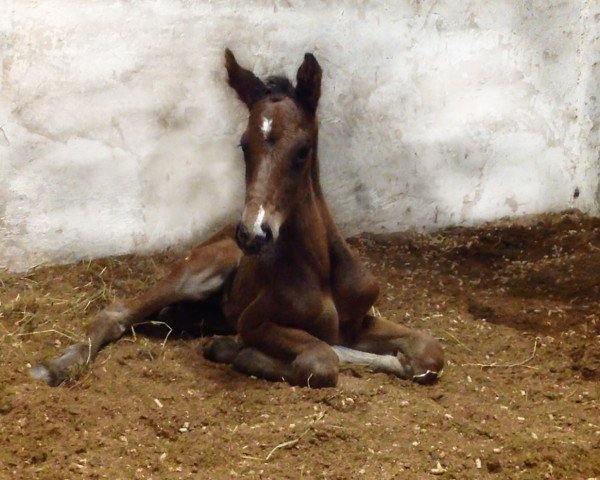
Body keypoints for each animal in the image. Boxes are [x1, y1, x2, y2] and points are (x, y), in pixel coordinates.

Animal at [31, 49, 446, 386]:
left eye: (302, 150)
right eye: (244, 145)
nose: (252, 234)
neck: (321, 268)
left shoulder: (358, 321)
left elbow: (430, 351)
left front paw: (400, 359)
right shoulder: (256, 321)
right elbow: (321, 358)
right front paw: (234, 351)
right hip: (200, 270)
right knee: (116, 312)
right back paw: (58, 366)